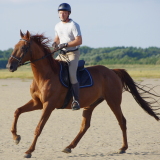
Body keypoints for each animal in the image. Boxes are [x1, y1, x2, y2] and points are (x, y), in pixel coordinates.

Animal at [6, 30, 159, 158]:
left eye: (24, 48)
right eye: (15, 46)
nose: (9, 66)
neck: (45, 75)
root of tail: (112, 71)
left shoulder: (48, 105)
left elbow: (38, 128)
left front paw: (29, 151)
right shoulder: (37, 103)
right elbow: (17, 111)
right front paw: (16, 137)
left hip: (113, 101)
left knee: (122, 121)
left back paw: (123, 148)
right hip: (90, 104)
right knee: (85, 126)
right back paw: (69, 147)